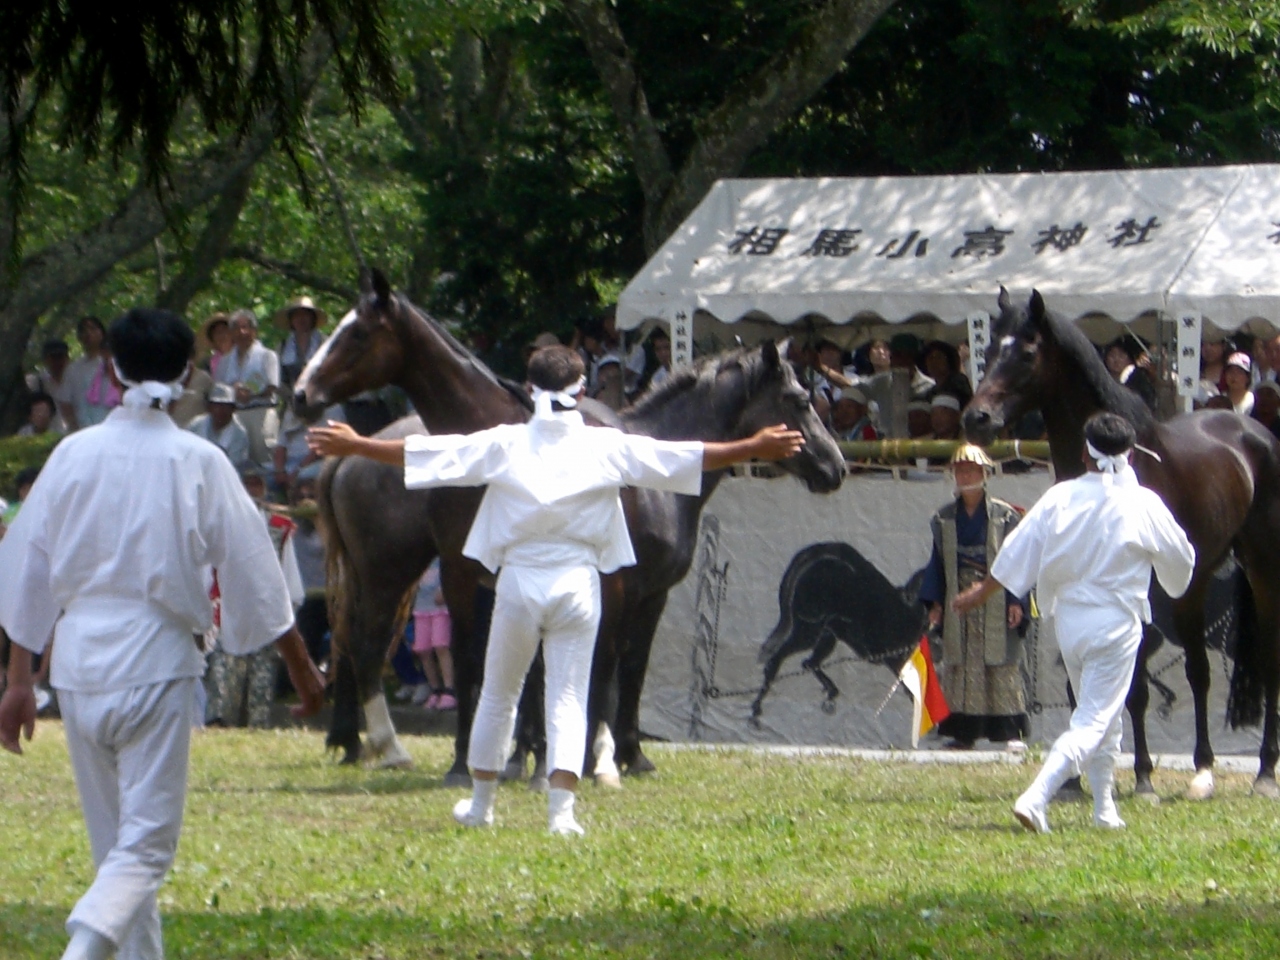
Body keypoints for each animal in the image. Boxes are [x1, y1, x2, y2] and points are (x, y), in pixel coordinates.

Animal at [962, 289, 1280, 798]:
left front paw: (1144, 777)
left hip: (1263, 568)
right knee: (1199, 672)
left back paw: (1264, 771)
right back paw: (1204, 770)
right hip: (1194, 581)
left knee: (1266, 665)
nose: (977, 418)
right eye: (989, 350)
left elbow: (1136, 688)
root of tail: (1252, 433)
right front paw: (1074, 781)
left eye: (1027, 354)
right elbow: (1084, 684)